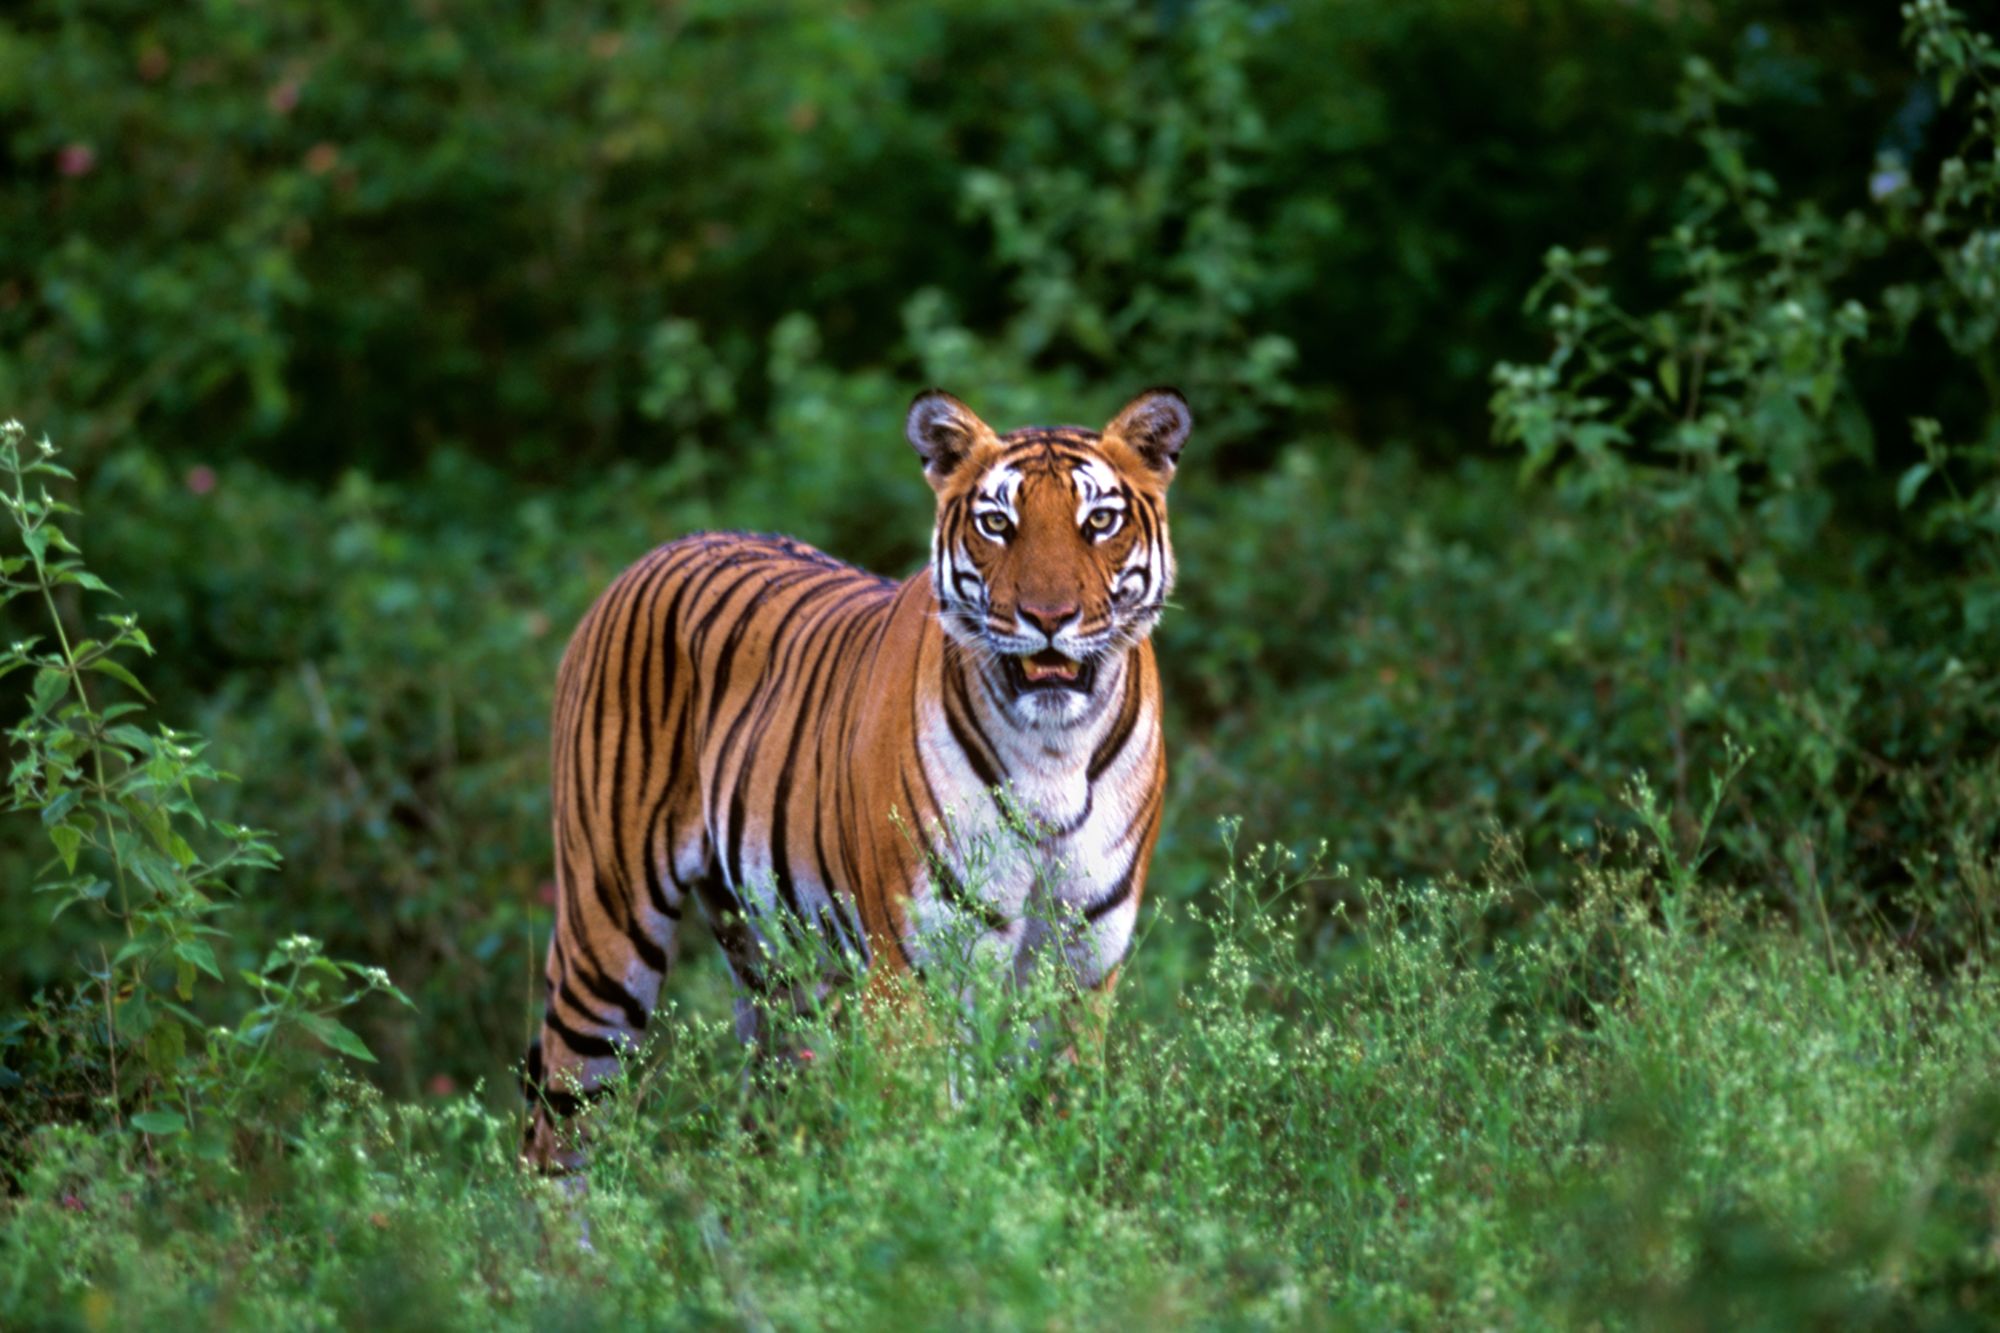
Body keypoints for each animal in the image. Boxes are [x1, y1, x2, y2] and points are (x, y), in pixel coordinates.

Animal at [522, 387, 1191, 1170]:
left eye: (1100, 521)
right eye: (998, 523)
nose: (1048, 617)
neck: (1053, 750)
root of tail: (660, 550)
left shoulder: (1080, 967)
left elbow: (1062, 1130)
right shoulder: (917, 968)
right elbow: (931, 1142)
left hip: (779, 970)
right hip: (607, 932)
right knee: (556, 1130)